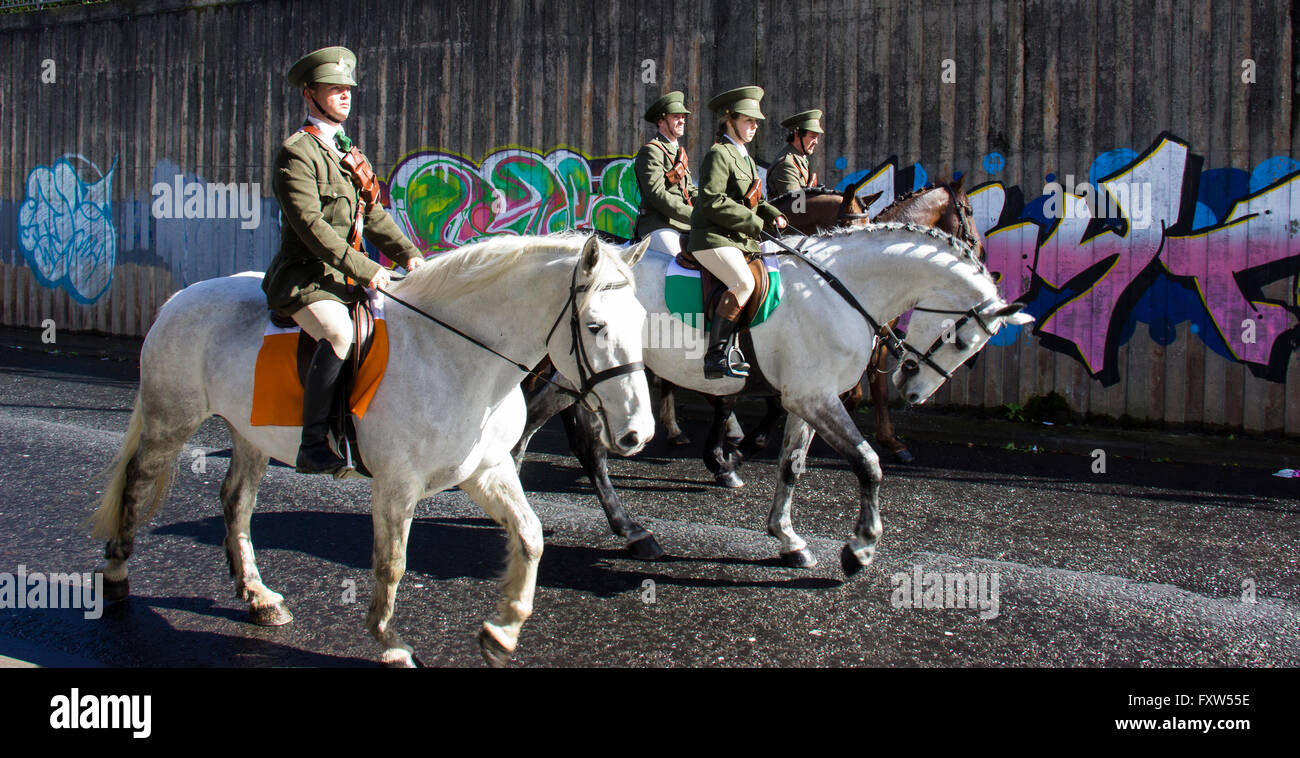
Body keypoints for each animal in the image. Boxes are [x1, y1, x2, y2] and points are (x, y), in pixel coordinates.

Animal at [87, 235, 655, 665]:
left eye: (641, 321)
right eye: (595, 326)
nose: (639, 434)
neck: (454, 355)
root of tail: (180, 298)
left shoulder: (486, 471)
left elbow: (531, 536)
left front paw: (502, 632)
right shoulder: (396, 485)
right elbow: (391, 566)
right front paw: (391, 644)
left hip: (250, 435)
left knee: (236, 502)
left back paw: (258, 598)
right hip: (170, 420)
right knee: (137, 484)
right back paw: (116, 577)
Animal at [512, 224, 1029, 574]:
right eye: (963, 341)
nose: (914, 392)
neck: (838, 291)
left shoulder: (807, 399)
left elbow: (791, 466)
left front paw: (788, 539)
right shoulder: (816, 398)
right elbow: (867, 464)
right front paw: (859, 549)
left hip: (580, 375)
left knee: (534, 421)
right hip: (586, 374)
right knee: (586, 448)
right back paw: (631, 531)